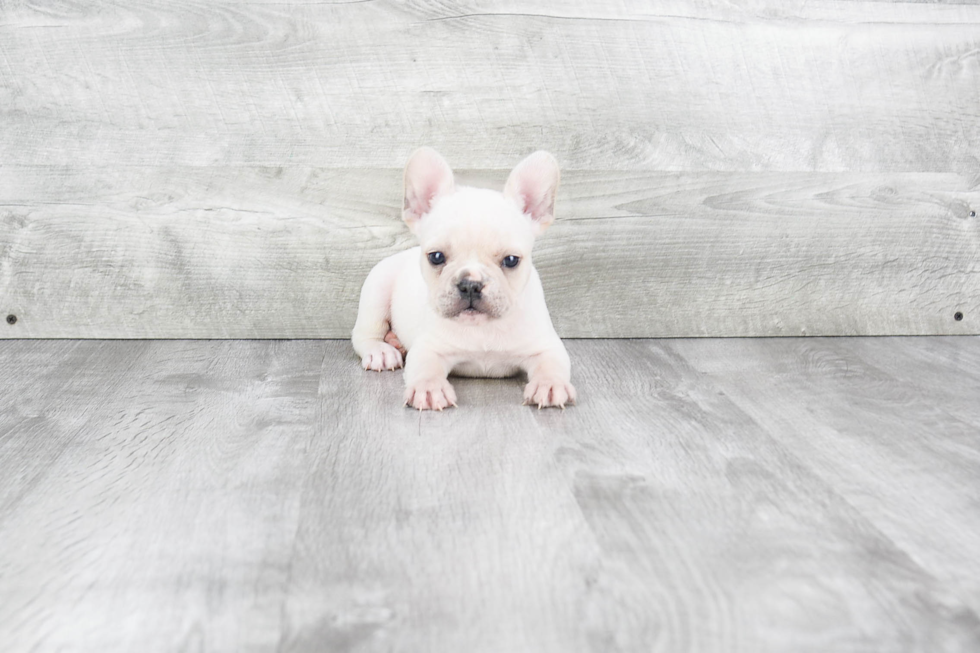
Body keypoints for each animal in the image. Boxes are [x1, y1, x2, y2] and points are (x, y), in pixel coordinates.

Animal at [352, 149, 576, 412]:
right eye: (436, 257)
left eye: (511, 260)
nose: (471, 284)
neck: (482, 329)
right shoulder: (428, 347)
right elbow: (426, 367)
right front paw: (429, 388)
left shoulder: (546, 346)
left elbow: (551, 364)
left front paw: (550, 385)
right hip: (376, 288)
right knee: (364, 334)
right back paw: (382, 350)